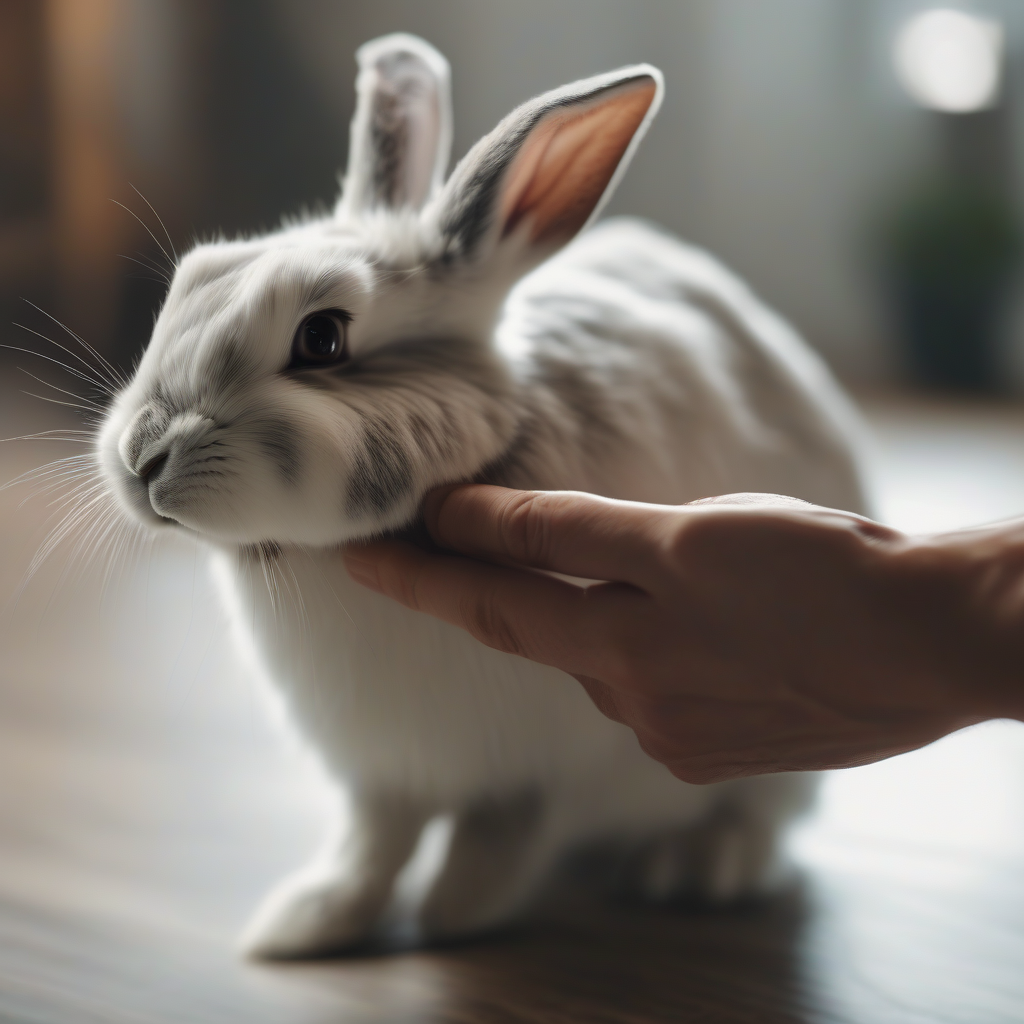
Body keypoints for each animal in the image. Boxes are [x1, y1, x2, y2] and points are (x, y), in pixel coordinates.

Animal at [96, 33, 870, 959]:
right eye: (190, 279)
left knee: (762, 811)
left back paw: (700, 866)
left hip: (772, 760)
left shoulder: (549, 765)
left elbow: (501, 832)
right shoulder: (380, 772)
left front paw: (453, 915)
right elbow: (371, 845)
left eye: (322, 338)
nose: (141, 457)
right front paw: (306, 925)